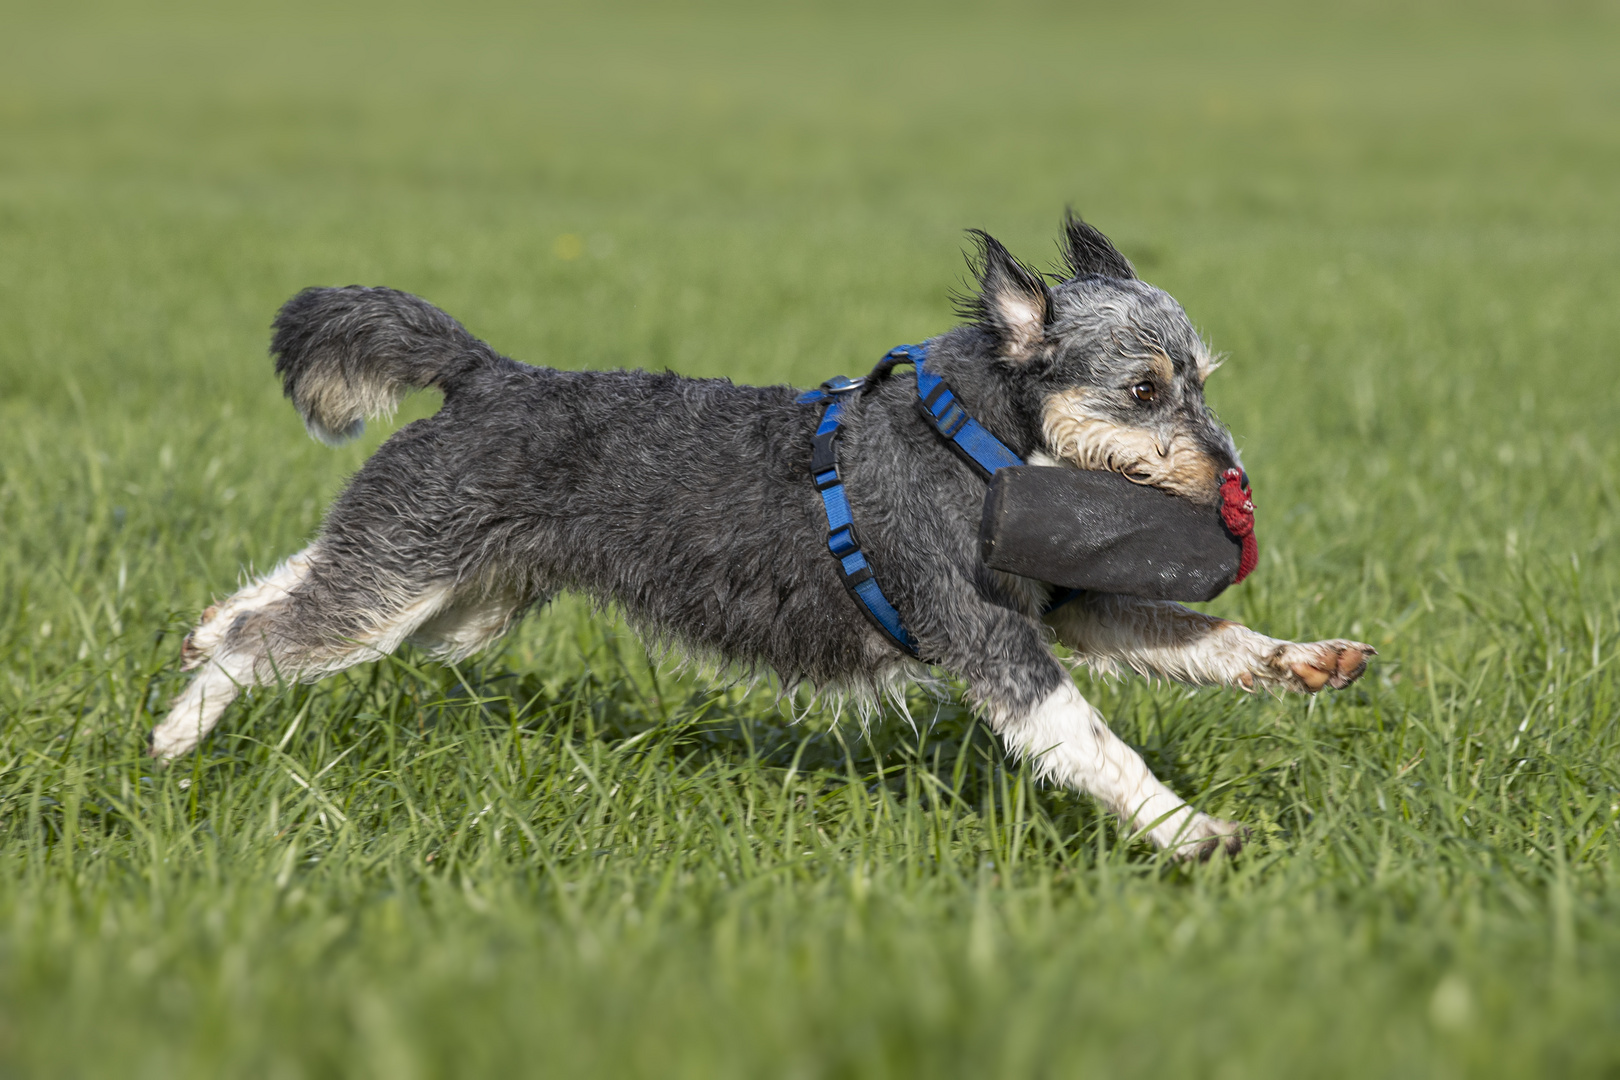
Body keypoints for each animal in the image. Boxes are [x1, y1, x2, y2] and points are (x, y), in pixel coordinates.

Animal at [152, 215, 1373, 861]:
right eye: (1146, 387)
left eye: (1202, 379)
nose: (1236, 480)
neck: (980, 438)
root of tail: (486, 374)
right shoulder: (989, 635)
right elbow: (1093, 741)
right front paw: (1189, 830)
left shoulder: (1073, 605)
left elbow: (1195, 637)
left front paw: (1305, 661)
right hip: (416, 579)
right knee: (274, 642)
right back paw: (174, 734)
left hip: (456, 602)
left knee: (297, 585)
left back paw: (206, 622)